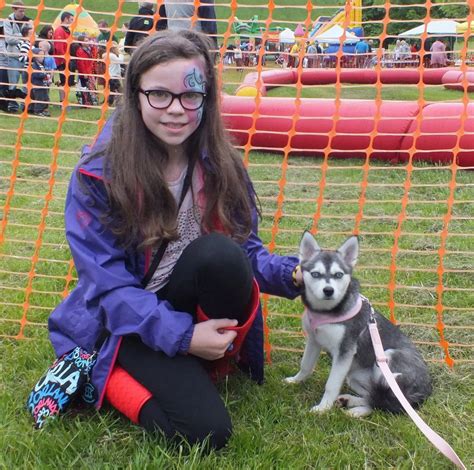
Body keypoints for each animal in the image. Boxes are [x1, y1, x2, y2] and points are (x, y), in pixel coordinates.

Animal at [286, 233, 434, 416]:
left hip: (387, 358)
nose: (328, 290)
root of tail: (426, 389)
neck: (326, 311)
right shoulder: (314, 341)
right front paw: (295, 380)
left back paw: (356, 411)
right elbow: (305, 366)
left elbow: (331, 385)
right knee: (373, 395)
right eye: (315, 274)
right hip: (355, 377)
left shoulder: (345, 351)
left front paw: (323, 408)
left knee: (382, 402)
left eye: (338, 275)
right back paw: (349, 401)